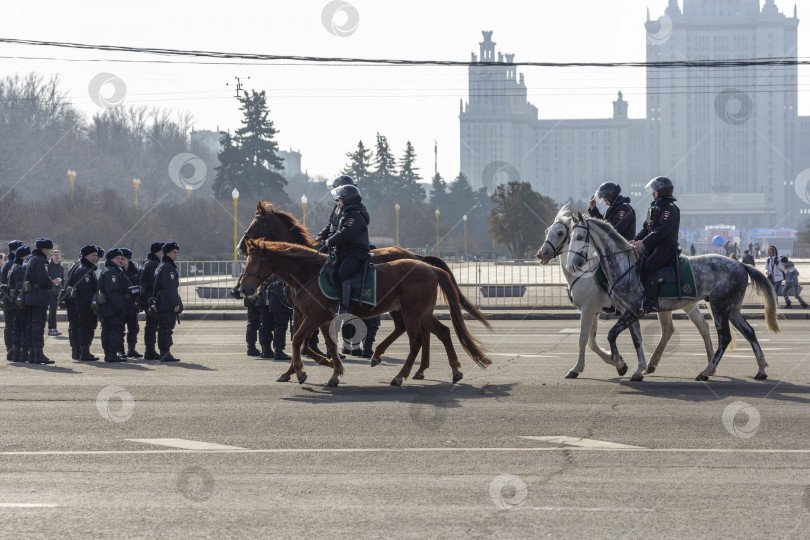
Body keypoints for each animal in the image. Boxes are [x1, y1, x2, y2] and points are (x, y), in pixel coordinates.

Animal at [230, 200, 490, 378]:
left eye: (257, 223)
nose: (240, 246)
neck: (308, 269)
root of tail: (423, 262)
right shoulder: (306, 313)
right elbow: (307, 341)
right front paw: (309, 367)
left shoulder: (315, 314)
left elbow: (302, 340)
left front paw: (308, 368)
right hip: (412, 311)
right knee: (435, 332)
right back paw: (429, 369)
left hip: (411, 311)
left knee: (419, 336)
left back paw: (402, 371)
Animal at [536, 206, 712, 380]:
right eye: (547, 231)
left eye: (561, 233)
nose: (541, 254)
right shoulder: (595, 312)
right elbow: (592, 341)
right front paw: (616, 361)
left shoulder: (588, 309)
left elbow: (583, 339)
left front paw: (578, 368)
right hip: (674, 306)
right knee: (679, 329)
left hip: (684, 305)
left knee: (696, 328)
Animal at [560, 213, 776, 382]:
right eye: (569, 236)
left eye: (580, 236)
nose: (572, 264)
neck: (623, 265)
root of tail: (740, 264)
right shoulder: (628, 312)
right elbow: (636, 340)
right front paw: (638, 369)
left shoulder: (630, 310)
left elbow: (611, 334)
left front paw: (620, 364)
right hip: (732, 310)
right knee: (748, 332)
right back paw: (761, 369)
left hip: (720, 308)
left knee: (724, 338)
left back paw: (706, 371)